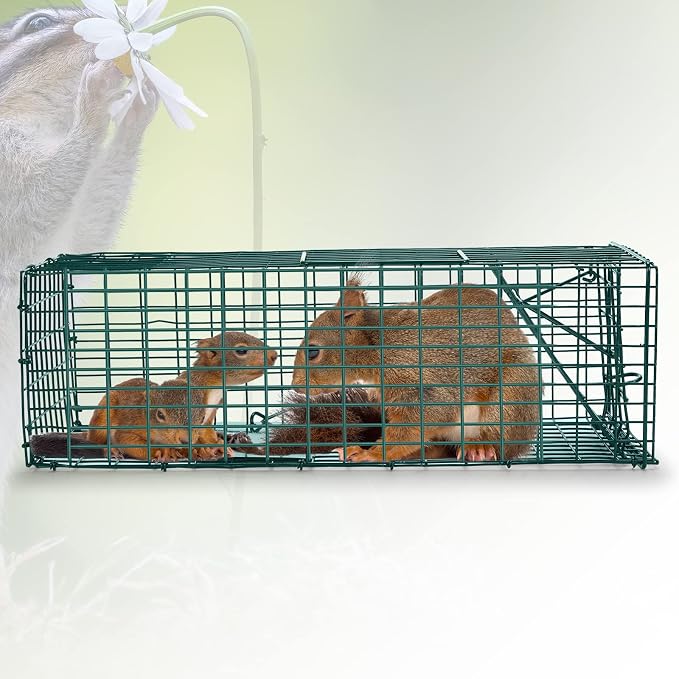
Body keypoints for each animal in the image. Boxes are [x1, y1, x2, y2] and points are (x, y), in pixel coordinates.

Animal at [30, 331, 277, 462]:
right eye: (242, 350)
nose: (274, 354)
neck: (215, 385)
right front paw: (198, 450)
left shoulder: (206, 418)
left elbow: (206, 435)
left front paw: (218, 446)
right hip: (102, 419)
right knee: (99, 441)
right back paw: (111, 449)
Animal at [291, 277, 540, 463]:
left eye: (313, 352)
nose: (295, 386)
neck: (377, 344)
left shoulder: (418, 382)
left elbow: (416, 423)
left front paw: (371, 454)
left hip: (511, 395)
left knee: (502, 441)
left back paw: (480, 448)